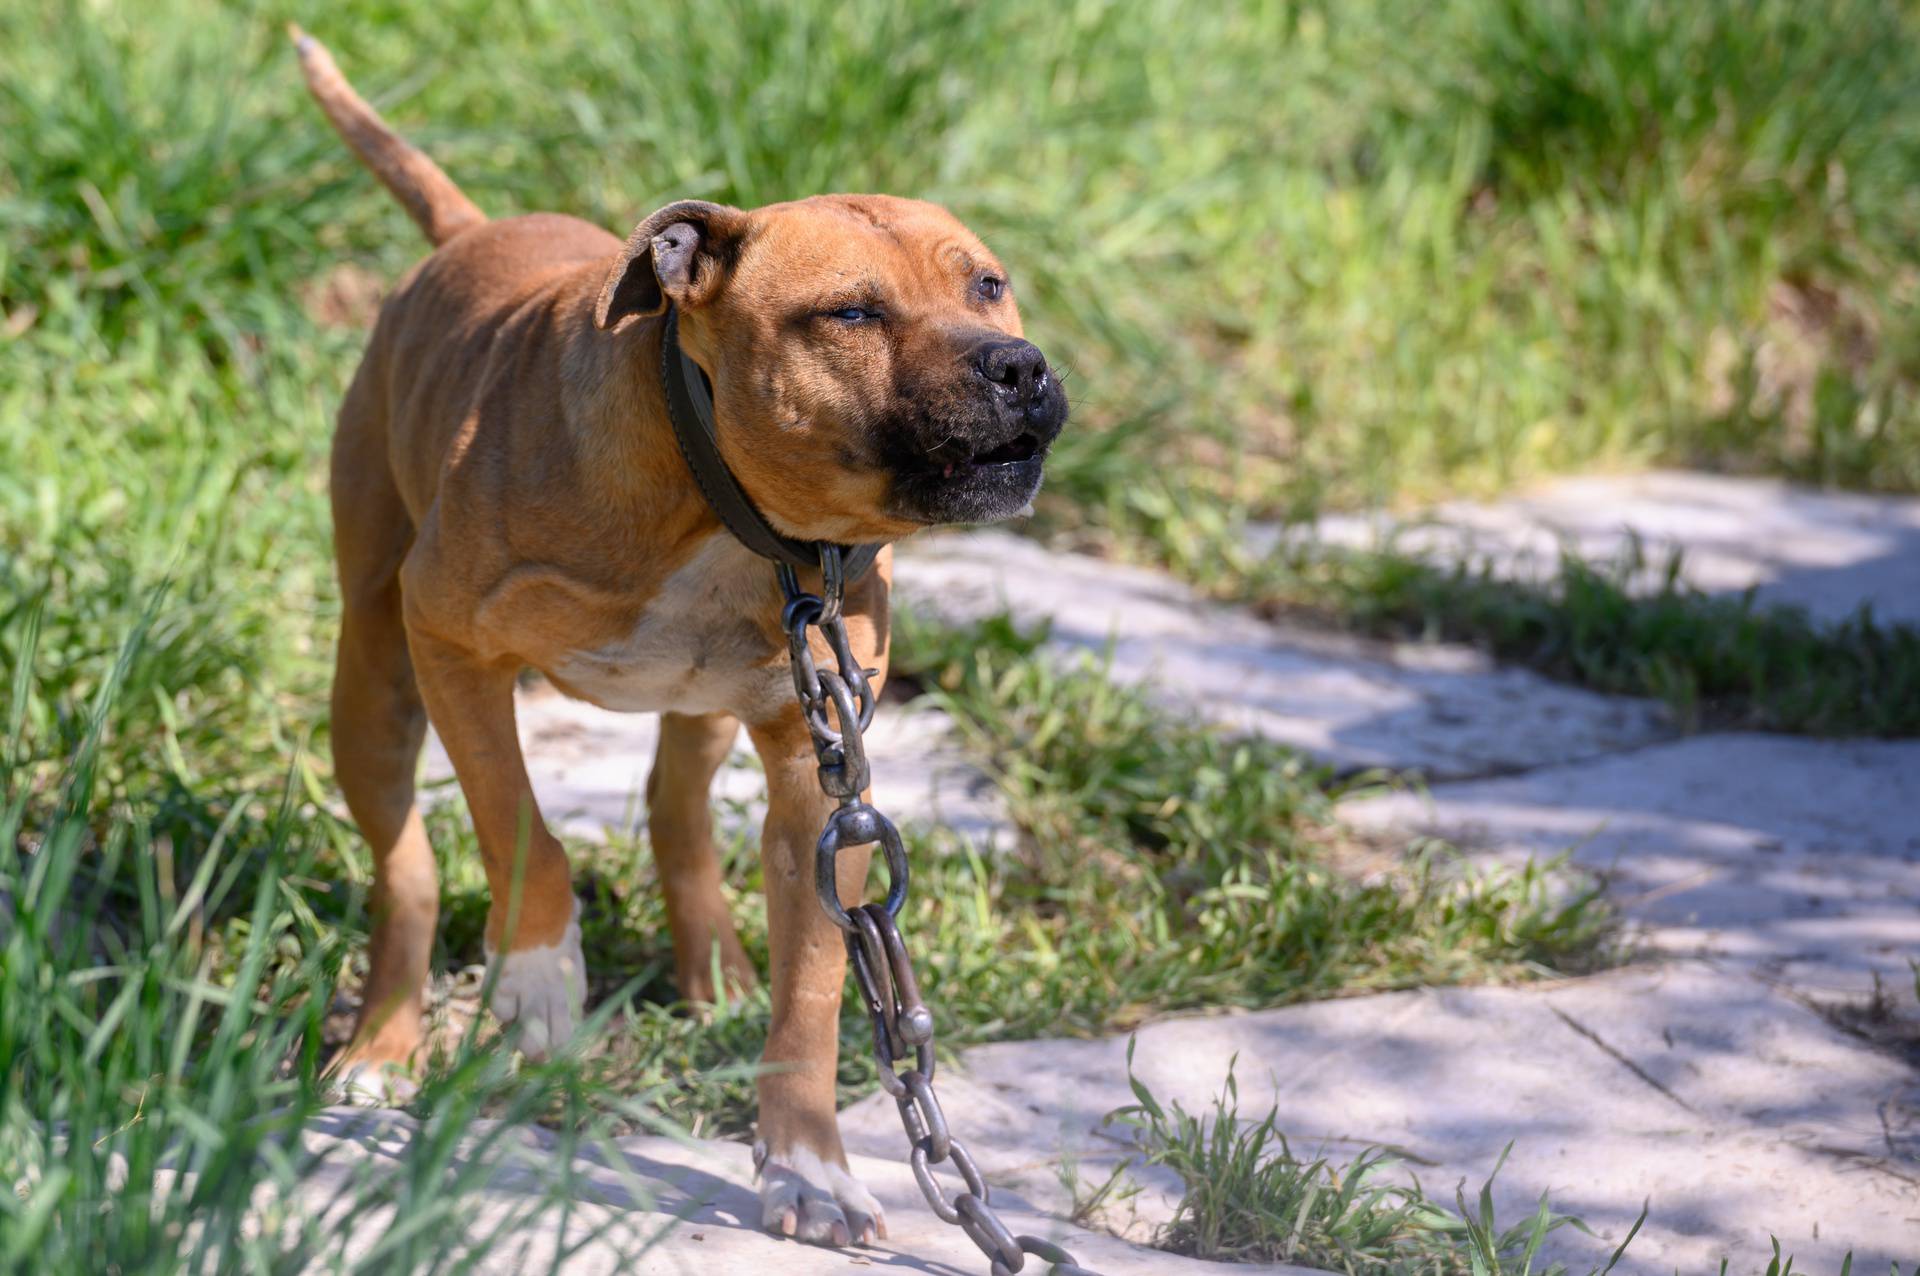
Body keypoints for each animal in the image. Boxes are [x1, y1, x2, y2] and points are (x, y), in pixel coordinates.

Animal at [289, 29, 1067, 1243]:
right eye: (851, 315)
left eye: (986, 283)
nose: (1018, 366)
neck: (729, 509)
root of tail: (466, 233)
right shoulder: (451, 645)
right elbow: (521, 827)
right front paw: (539, 978)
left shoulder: (820, 771)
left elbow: (817, 991)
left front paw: (810, 1162)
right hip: (373, 680)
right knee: (406, 867)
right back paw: (381, 1047)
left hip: (713, 707)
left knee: (674, 807)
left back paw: (716, 970)